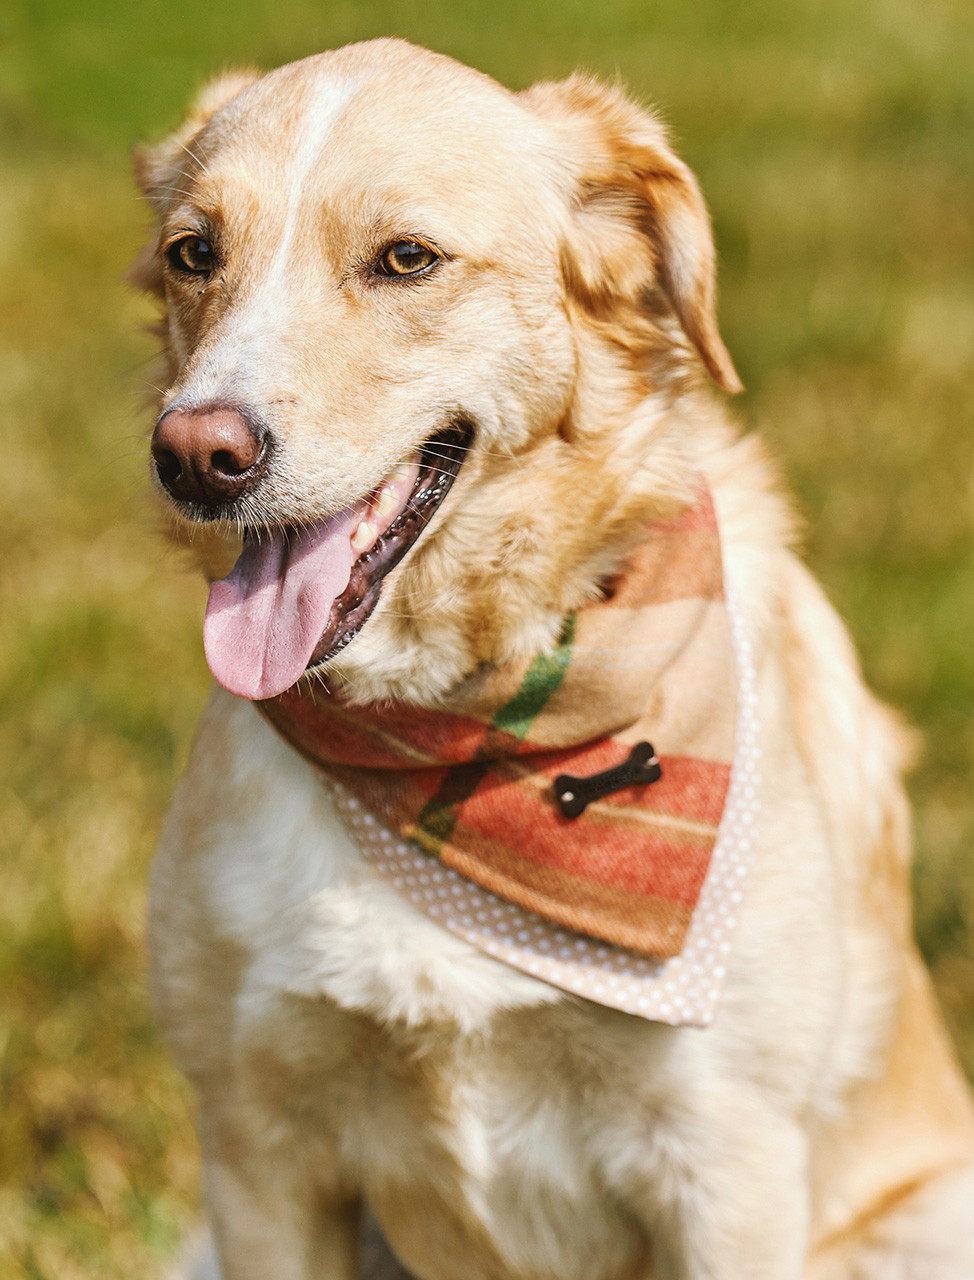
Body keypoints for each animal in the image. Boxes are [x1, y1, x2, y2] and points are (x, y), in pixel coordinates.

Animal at [133, 40, 972, 1280]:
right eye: (195, 254)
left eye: (406, 258)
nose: (195, 453)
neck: (455, 723)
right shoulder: (256, 1150)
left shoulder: (726, 1163)